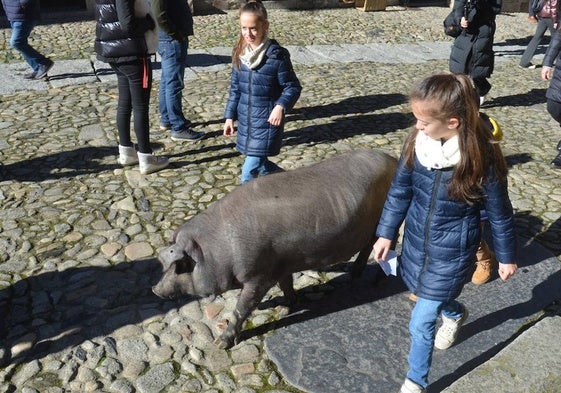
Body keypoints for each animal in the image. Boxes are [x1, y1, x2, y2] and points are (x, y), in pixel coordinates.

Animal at [153, 149, 398, 348]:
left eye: (181, 266)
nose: (155, 289)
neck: (219, 249)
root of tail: (393, 160)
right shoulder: (281, 264)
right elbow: (286, 285)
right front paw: (284, 308)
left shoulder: (258, 276)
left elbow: (243, 307)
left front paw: (220, 344)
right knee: (368, 246)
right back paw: (352, 275)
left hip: (389, 222)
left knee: (388, 244)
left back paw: (378, 280)